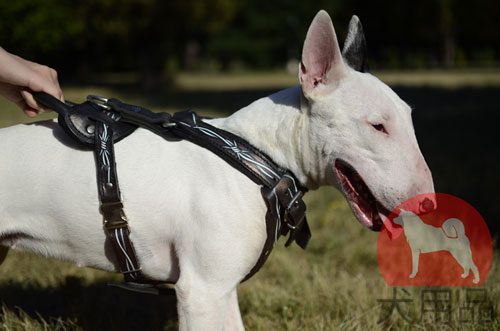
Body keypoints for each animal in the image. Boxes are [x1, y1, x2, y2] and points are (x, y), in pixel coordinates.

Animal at [0, 11, 434, 331]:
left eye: (410, 119)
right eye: (378, 126)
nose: (428, 203)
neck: (258, 156)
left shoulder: (223, 288)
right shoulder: (202, 291)